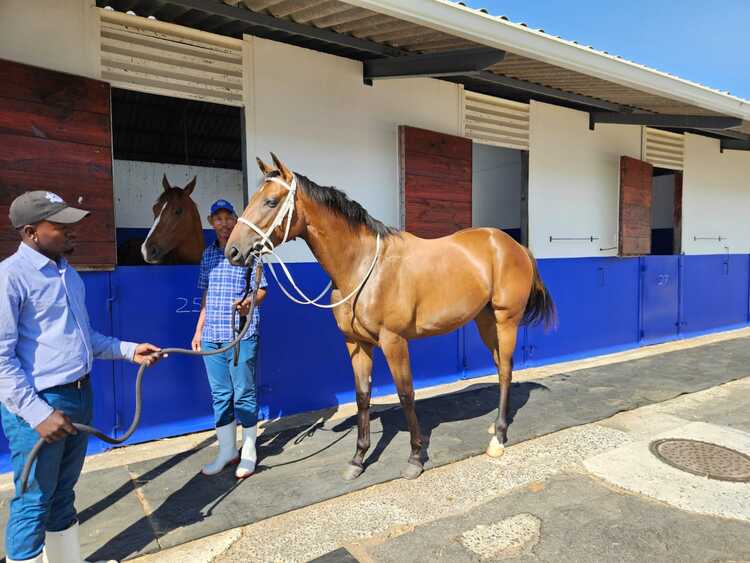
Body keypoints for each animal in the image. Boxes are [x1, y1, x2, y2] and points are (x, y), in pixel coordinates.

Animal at [226, 154, 555, 481]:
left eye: (270, 201)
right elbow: (362, 396)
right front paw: (358, 458)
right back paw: (496, 426)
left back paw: (498, 438)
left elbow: (406, 393)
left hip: (506, 320)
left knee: (506, 370)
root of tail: (514, 245)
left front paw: (415, 457)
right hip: (485, 320)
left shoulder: (394, 341)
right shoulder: (355, 343)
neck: (362, 268)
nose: (233, 251)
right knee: (500, 367)